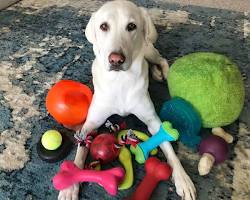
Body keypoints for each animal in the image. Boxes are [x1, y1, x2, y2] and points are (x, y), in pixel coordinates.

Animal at [58, 0, 195, 199]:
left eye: (131, 26)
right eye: (104, 26)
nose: (116, 60)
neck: (120, 80)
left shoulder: (153, 121)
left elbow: (168, 147)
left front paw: (182, 178)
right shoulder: (91, 123)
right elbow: (80, 151)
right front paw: (70, 184)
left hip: (148, 50)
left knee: (161, 59)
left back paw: (164, 73)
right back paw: (155, 73)